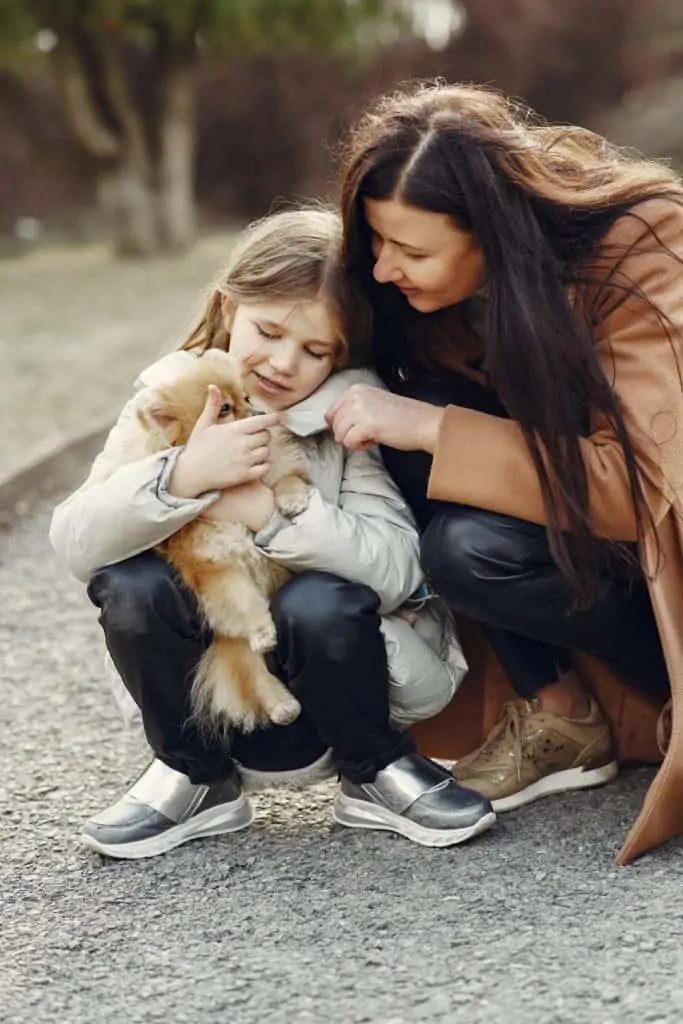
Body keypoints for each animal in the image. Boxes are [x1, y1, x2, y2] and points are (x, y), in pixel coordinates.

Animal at [129, 348, 309, 733]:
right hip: (233, 638)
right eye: (224, 408)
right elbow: (244, 602)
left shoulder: (284, 470)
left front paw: (292, 500)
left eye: (246, 398)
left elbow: (287, 479)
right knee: (253, 671)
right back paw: (281, 704)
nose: (260, 414)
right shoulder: (218, 568)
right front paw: (262, 629)